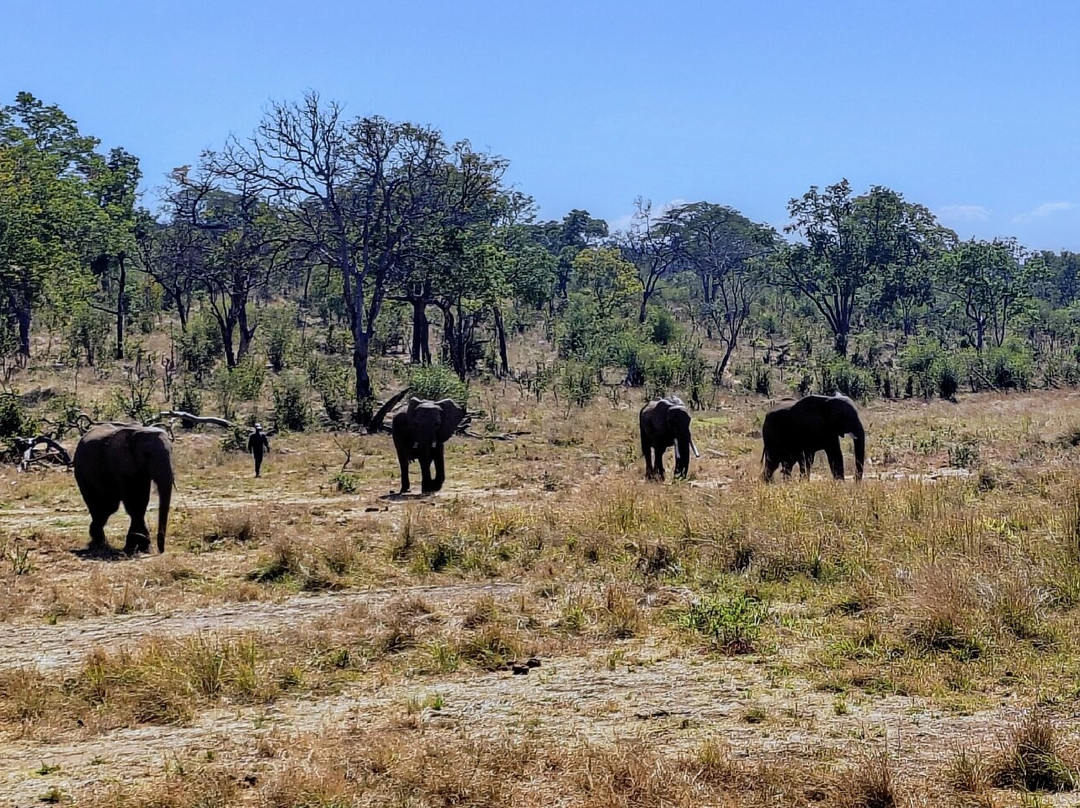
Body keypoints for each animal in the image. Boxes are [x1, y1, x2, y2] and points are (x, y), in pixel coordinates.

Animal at [72, 424, 174, 554]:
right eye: (146, 454)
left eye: (171, 451)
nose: (161, 551)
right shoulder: (121, 465)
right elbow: (135, 504)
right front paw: (134, 548)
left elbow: (141, 501)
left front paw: (142, 549)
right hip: (81, 474)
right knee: (99, 506)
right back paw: (98, 543)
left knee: (107, 508)